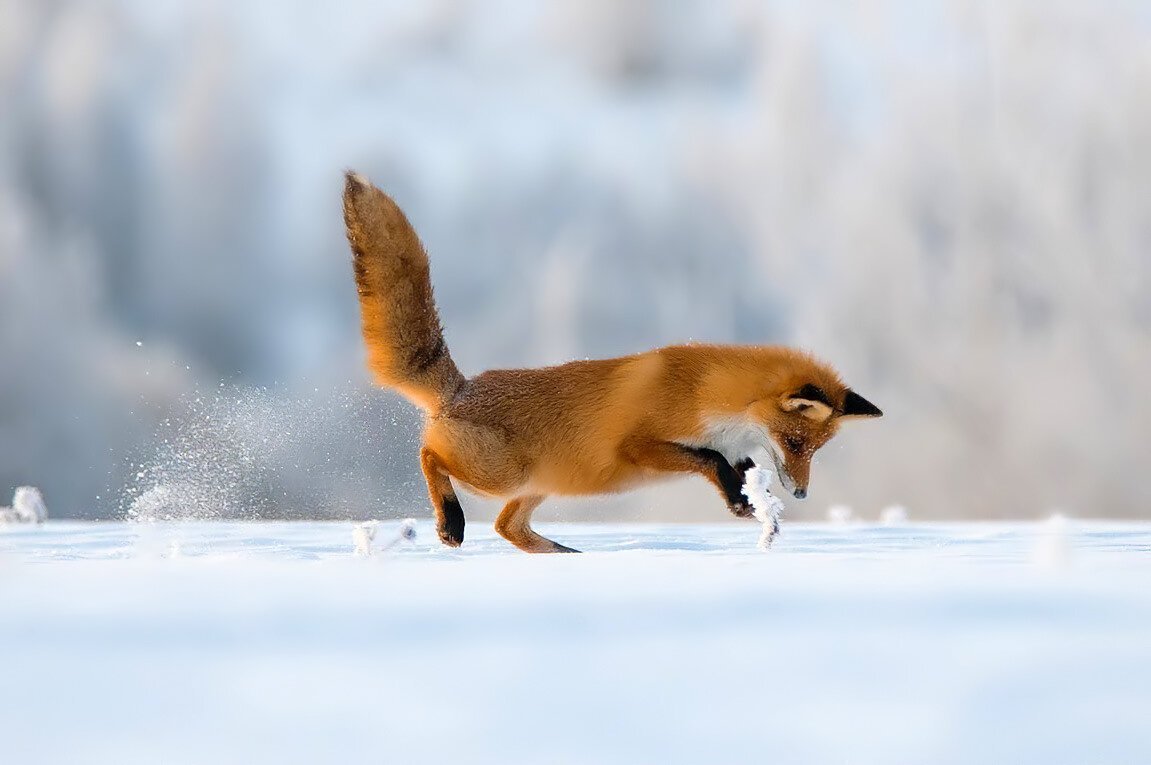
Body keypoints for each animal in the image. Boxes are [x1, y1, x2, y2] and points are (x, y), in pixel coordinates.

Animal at [342, 172, 882, 553]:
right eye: (795, 443)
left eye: (814, 449)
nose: (803, 496)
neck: (711, 396)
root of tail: (460, 387)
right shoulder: (639, 446)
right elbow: (706, 459)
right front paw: (738, 498)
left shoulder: (732, 451)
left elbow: (731, 469)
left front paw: (744, 503)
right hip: (502, 474)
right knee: (427, 455)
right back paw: (451, 522)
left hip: (541, 484)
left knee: (507, 526)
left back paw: (567, 555)